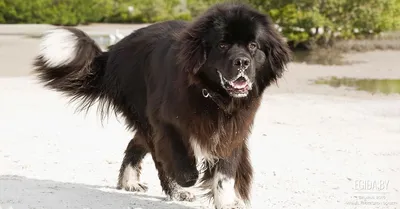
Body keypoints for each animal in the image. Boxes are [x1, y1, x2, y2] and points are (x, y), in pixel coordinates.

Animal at [32, 2, 290, 209]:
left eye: (253, 46)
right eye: (223, 45)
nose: (242, 62)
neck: (213, 95)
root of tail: (113, 52)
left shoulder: (233, 130)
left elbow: (225, 172)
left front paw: (226, 202)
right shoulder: (165, 122)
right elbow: (180, 163)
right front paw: (186, 180)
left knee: (136, 143)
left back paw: (129, 182)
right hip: (144, 113)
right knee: (155, 154)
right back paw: (176, 190)